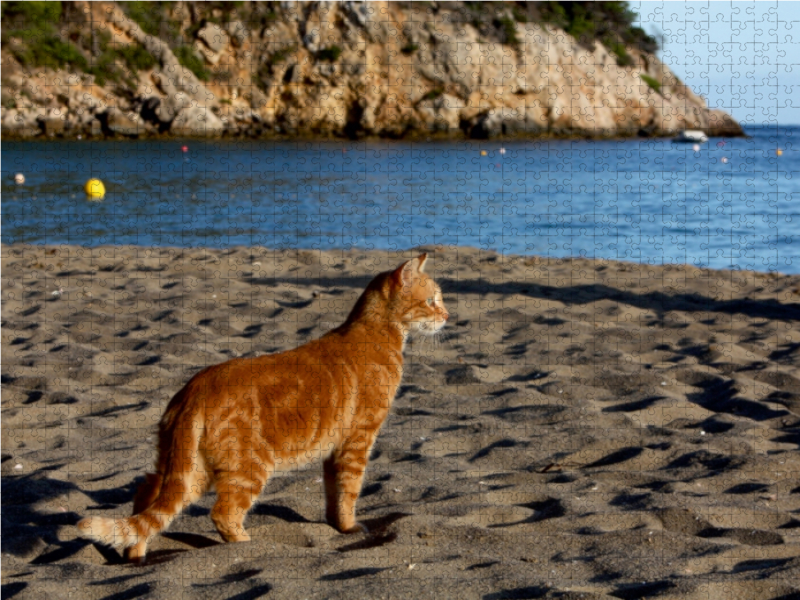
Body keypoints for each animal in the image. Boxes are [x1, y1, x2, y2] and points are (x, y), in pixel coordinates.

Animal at [78, 254, 446, 564]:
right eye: (431, 300)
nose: (446, 316)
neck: (377, 333)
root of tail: (196, 389)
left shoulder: (334, 448)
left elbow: (333, 492)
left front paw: (335, 526)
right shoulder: (358, 439)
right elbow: (350, 490)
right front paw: (349, 527)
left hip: (187, 468)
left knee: (147, 498)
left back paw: (136, 557)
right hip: (248, 467)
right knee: (222, 513)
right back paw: (247, 545)